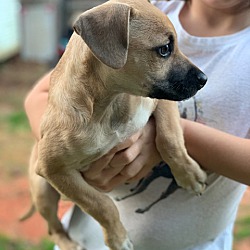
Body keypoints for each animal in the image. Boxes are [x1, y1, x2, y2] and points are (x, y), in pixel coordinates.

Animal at [23, 0, 208, 250]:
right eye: (164, 49)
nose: (203, 79)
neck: (110, 105)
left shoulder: (159, 101)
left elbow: (169, 138)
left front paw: (188, 175)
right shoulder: (53, 168)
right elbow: (100, 204)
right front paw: (118, 238)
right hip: (43, 191)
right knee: (54, 227)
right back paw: (68, 243)